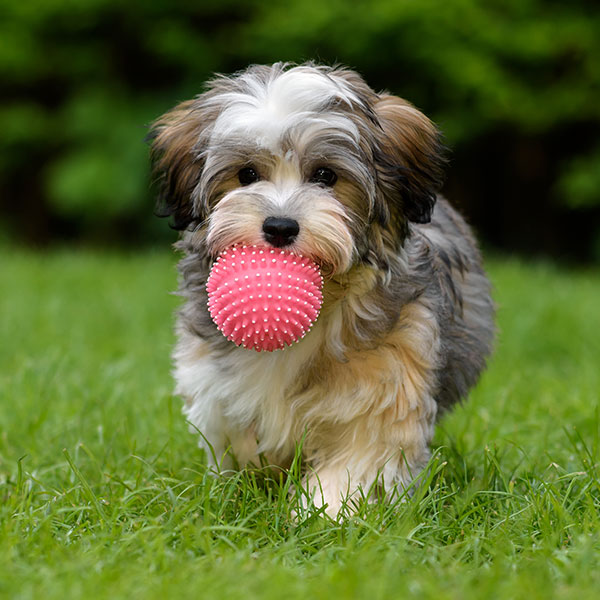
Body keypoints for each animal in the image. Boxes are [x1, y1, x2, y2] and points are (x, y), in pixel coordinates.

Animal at [149, 63, 492, 516]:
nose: (280, 226)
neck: (329, 293)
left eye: (326, 175)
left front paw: (326, 513)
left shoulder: (388, 380)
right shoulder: (214, 382)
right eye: (247, 174)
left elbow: (361, 455)